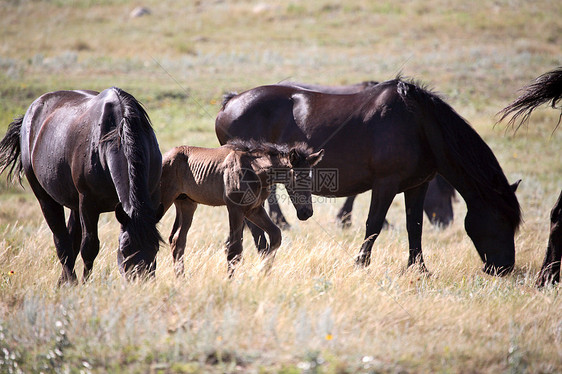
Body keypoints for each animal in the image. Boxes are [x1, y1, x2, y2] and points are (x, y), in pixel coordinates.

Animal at [0, 87, 162, 284]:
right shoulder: (88, 204)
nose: (141, 282)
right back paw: (71, 281)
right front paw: (86, 283)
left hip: (74, 205)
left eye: (156, 248)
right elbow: (90, 246)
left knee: (72, 240)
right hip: (46, 198)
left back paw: (63, 282)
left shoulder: (151, 198)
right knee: (61, 241)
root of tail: (30, 113)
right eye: (125, 249)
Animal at [160, 139, 322, 276]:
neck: (255, 171)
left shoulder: (254, 210)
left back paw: (181, 279)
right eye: (297, 178)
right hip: (164, 199)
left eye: (311, 178)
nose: (306, 212)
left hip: (187, 204)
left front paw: (263, 273)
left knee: (177, 240)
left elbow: (275, 235)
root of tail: (164, 157)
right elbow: (234, 250)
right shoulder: (235, 208)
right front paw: (229, 282)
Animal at [215, 77, 520, 274]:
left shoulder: (417, 186)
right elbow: (373, 225)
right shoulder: (385, 184)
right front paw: (361, 264)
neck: (418, 125)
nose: (504, 268)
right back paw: (263, 250)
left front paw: (419, 269)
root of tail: (231, 102)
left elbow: (415, 226)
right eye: (501, 220)